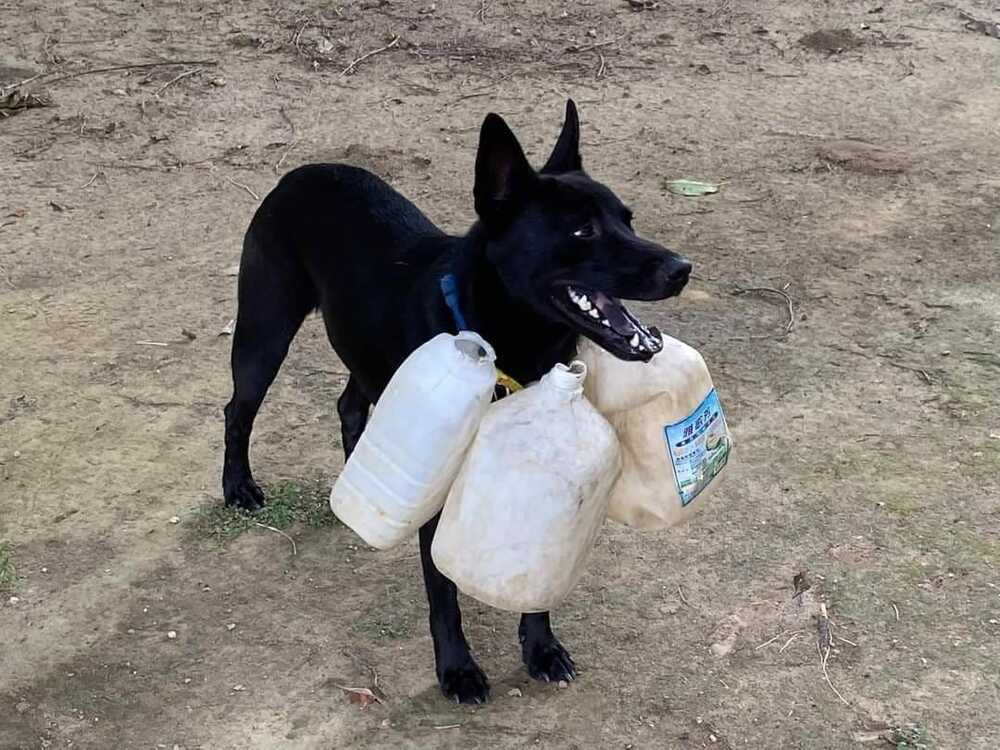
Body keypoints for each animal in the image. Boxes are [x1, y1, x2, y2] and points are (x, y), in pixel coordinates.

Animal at [223, 101, 692, 704]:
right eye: (581, 229)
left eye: (627, 219)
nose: (681, 268)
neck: (505, 347)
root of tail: (300, 172)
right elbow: (443, 593)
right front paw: (458, 669)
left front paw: (541, 648)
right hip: (265, 333)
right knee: (237, 412)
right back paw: (238, 486)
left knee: (350, 405)